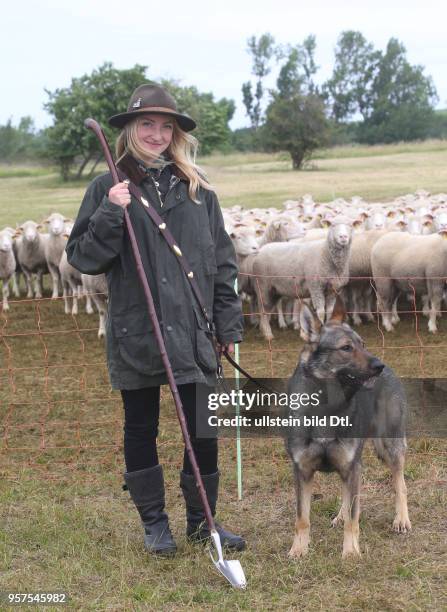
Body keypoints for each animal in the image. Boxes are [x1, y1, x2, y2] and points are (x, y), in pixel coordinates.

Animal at [288, 296, 412, 560]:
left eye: (363, 344)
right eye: (346, 348)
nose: (379, 365)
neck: (325, 411)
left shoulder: (351, 464)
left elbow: (354, 520)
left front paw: (351, 552)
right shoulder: (303, 471)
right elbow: (302, 518)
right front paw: (299, 549)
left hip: (389, 446)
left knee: (400, 484)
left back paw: (401, 520)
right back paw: (340, 515)